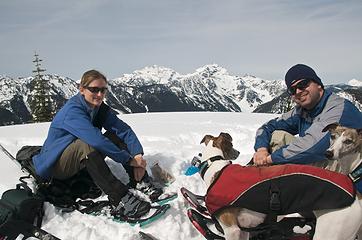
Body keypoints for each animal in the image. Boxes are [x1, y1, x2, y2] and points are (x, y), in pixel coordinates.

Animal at [198, 132, 362, 240]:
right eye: (231, 145)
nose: (238, 152)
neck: (215, 166)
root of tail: (357, 195)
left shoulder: (232, 230)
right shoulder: (242, 230)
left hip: (331, 231)